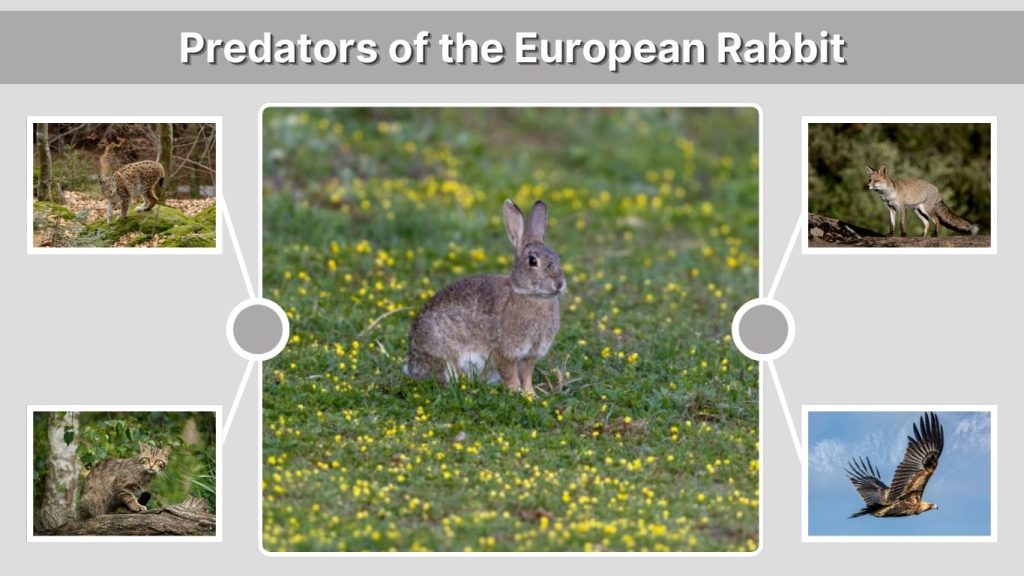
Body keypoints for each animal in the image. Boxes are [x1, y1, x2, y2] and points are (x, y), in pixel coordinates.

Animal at [405, 199, 566, 394]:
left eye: (557, 257)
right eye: (533, 261)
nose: (559, 283)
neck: (532, 296)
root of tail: (412, 366)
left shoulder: (530, 355)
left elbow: (526, 375)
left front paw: (530, 395)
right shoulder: (502, 351)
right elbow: (510, 374)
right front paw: (516, 393)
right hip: (444, 358)